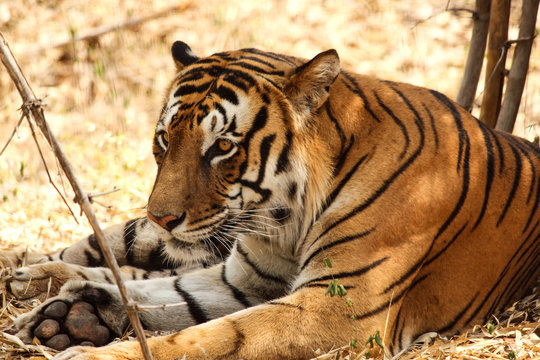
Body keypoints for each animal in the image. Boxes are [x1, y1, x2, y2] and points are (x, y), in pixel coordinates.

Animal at [4, 40, 540, 358]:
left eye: (222, 147)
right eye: (164, 139)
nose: (163, 215)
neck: (285, 220)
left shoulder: (337, 310)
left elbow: (209, 332)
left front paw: (86, 339)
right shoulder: (244, 282)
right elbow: (166, 298)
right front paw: (69, 314)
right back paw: (31, 277)